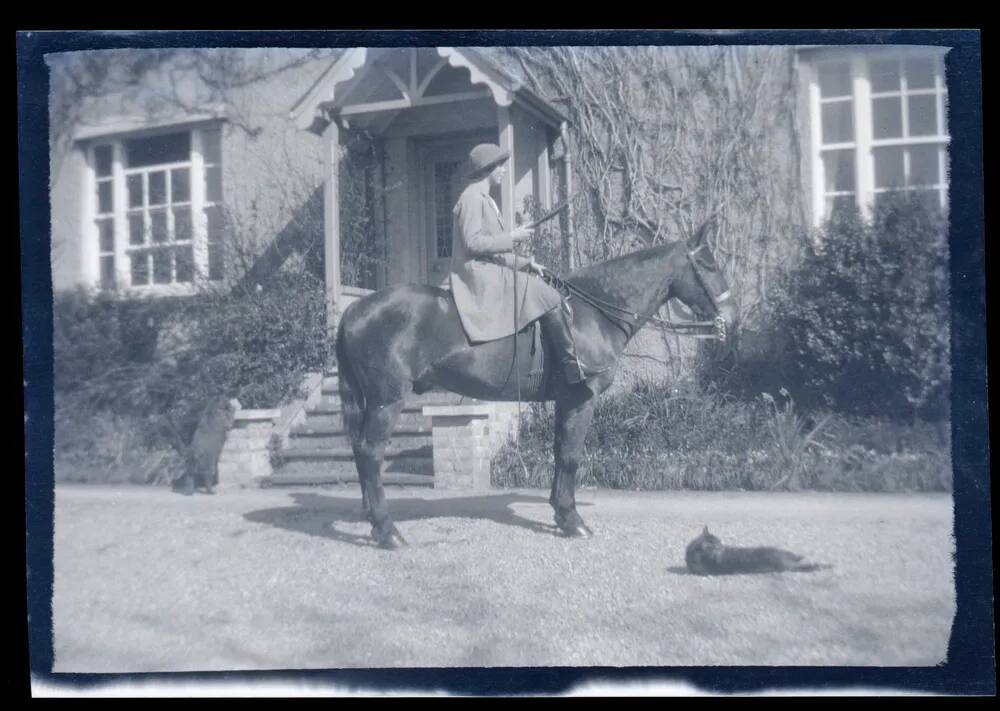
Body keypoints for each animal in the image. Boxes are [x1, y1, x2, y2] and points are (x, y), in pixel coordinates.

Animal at [336, 225, 736, 548]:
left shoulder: (564, 401)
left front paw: (561, 512)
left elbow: (560, 453)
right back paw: (388, 531)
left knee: (360, 452)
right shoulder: (581, 399)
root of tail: (354, 310)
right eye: (708, 264)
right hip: (387, 402)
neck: (593, 313)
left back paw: (373, 519)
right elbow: (571, 456)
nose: (730, 319)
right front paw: (573, 521)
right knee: (371, 454)